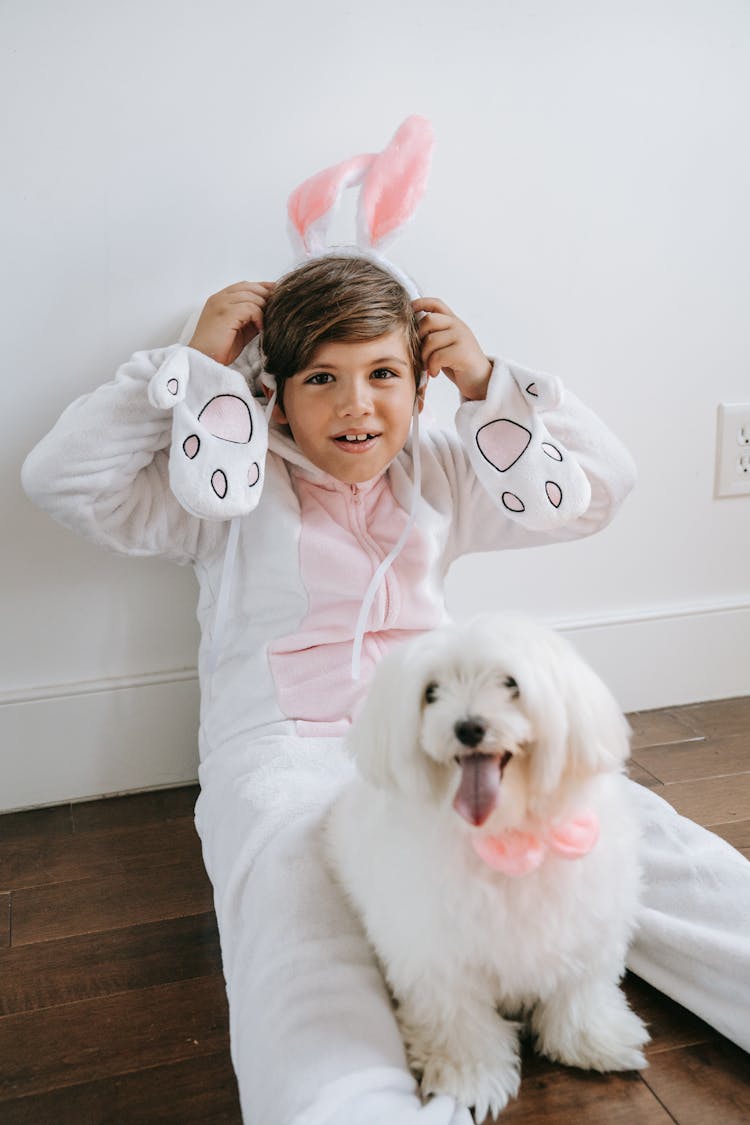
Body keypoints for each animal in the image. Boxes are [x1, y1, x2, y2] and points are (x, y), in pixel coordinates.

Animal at [328, 621, 652, 1120]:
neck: (509, 835)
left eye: (511, 684)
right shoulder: (435, 958)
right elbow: (459, 1019)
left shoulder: (588, 925)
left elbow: (582, 989)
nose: (468, 727)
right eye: (431, 692)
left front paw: (593, 1040)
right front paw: (471, 1079)